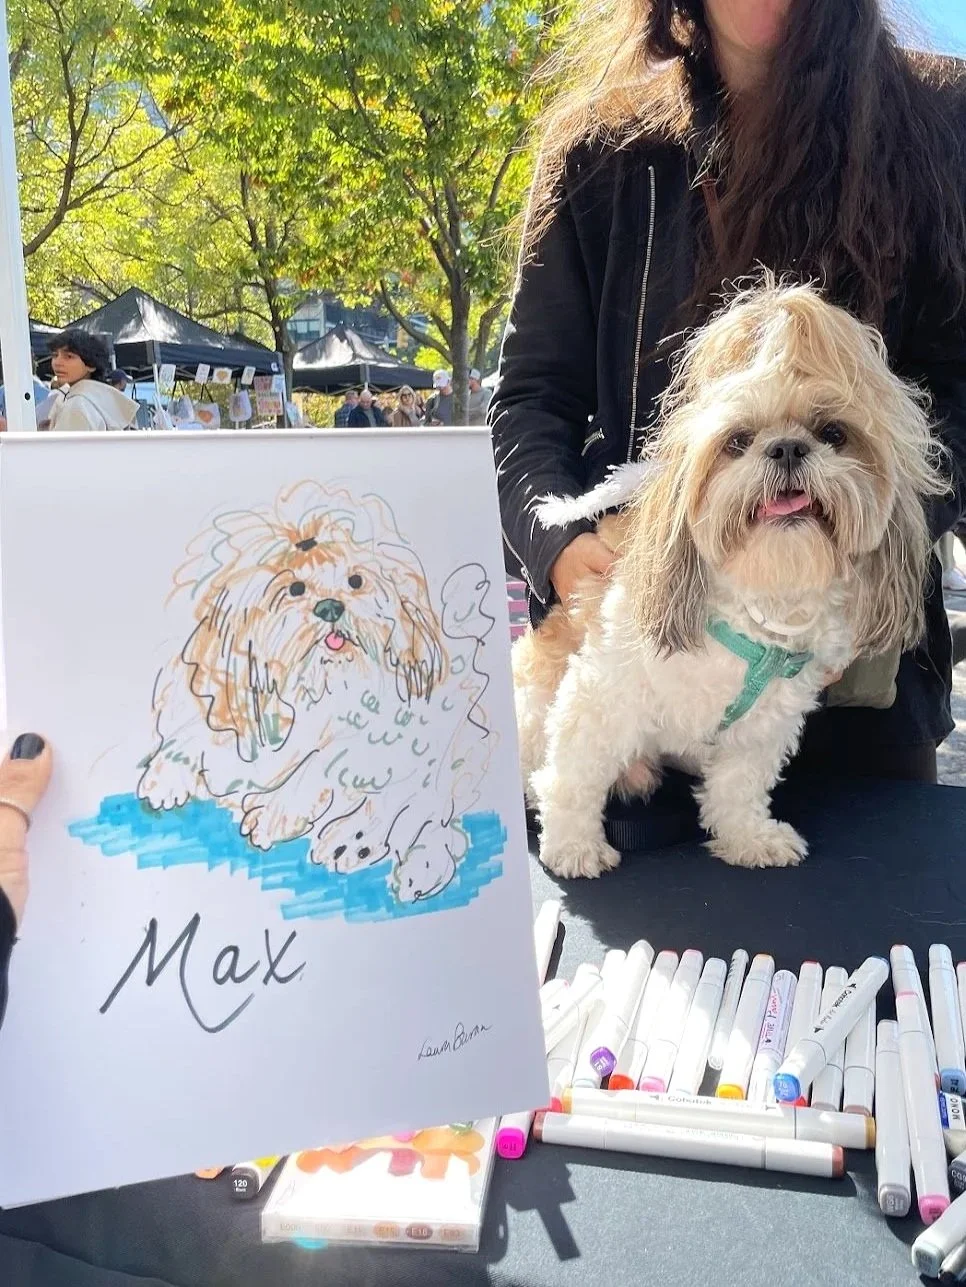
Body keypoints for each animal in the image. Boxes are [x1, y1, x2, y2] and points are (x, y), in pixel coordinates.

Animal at [137, 481, 492, 903]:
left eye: (356, 581)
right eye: (293, 588)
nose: (330, 608)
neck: (311, 685)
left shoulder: (381, 731)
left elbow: (322, 763)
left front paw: (275, 812)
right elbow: (194, 731)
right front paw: (166, 774)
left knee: (430, 814)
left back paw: (364, 845)